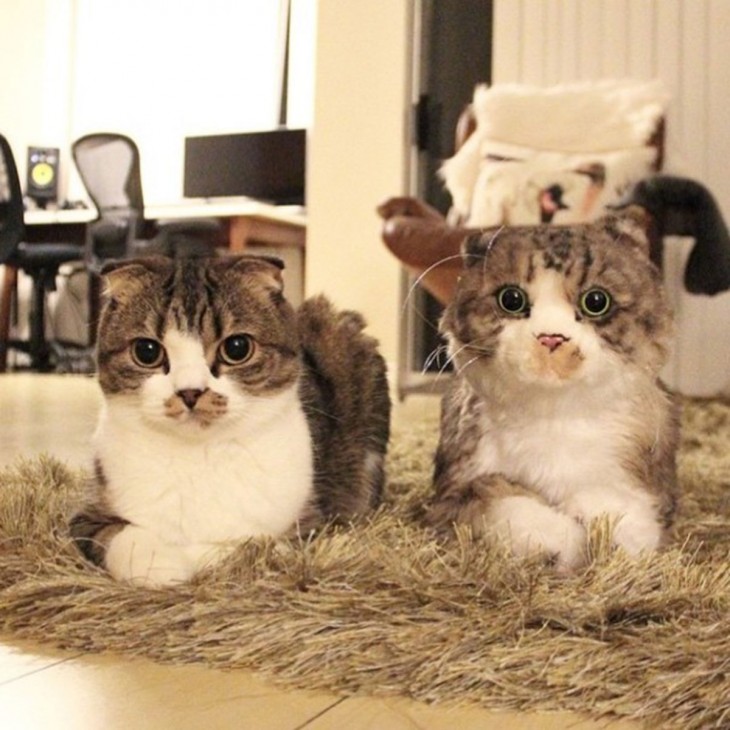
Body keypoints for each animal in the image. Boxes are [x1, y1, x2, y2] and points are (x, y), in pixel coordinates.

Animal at [69, 255, 390, 584]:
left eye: (237, 348)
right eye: (147, 352)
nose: (190, 392)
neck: (200, 456)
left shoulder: (307, 523)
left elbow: (252, 546)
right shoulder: (89, 513)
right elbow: (119, 537)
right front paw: (163, 564)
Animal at [426, 210, 676, 568]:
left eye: (596, 301)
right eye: (511, 299)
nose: (552, 338)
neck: (555, 412)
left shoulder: (648, 484)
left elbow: (624, 514)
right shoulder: (451, 497)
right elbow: (501, 503)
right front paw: (565, 541)